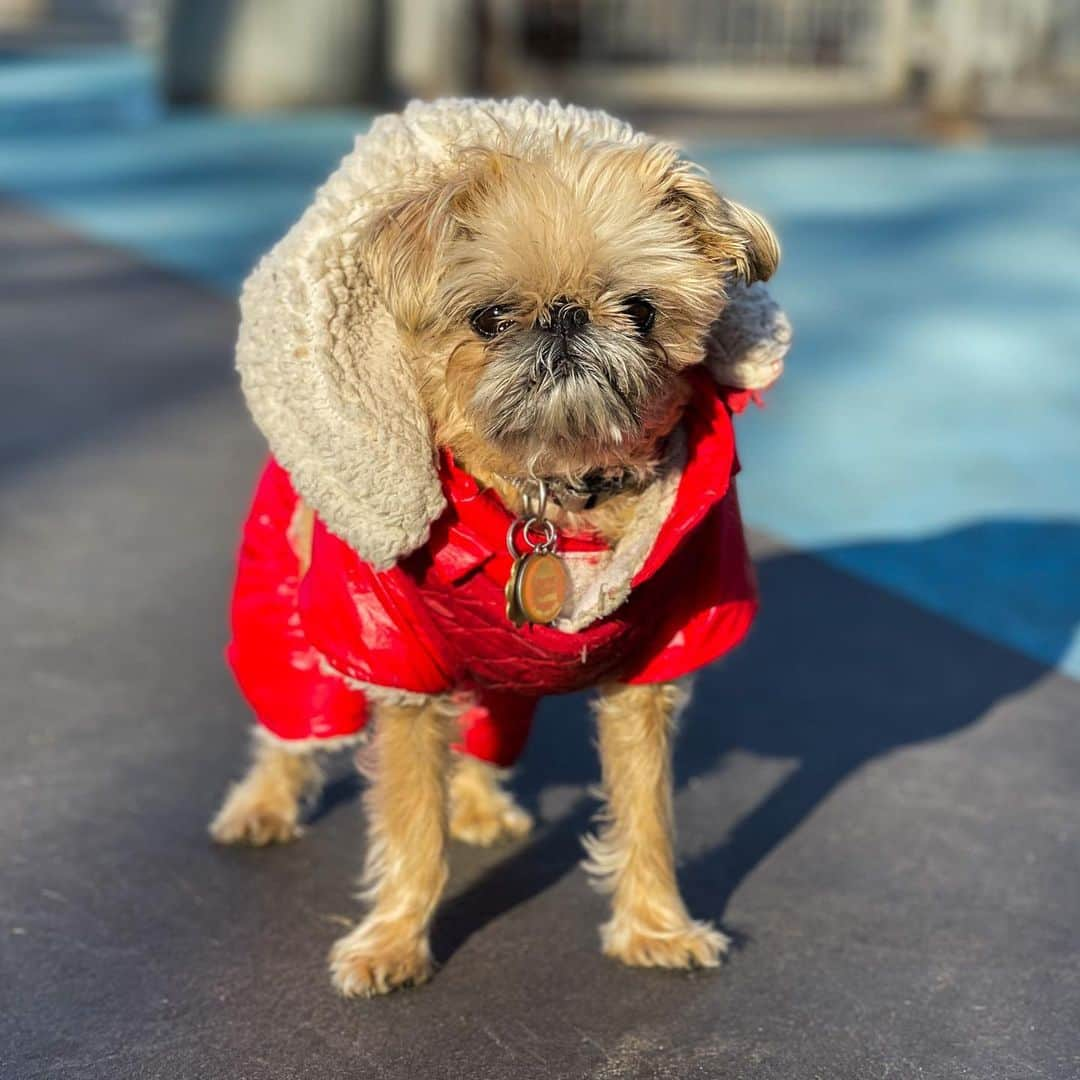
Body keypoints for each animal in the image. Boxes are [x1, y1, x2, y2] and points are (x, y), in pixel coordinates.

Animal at [210, 99, 790, 993]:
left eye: (642, 310)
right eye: (487, 317)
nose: (565, 313)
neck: (549, 494)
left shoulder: (648, 676)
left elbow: (647, 812)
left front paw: (655, 926)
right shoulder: (401, 671)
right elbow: (412, 825)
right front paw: (394, 940)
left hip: (494, 672)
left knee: (486, 723)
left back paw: (480, 803)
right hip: (287, 603)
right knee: (292, 715)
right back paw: (265, 803)